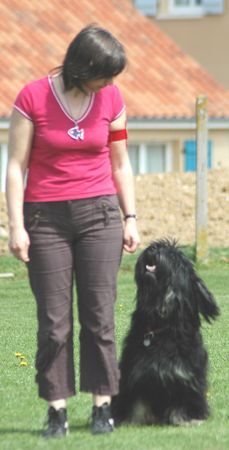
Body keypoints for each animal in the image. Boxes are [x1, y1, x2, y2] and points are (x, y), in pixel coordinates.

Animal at [112, 239, 219, 426]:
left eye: (173, 256)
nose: (154, 248)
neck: (161, 324)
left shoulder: (184, 376)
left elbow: (181, 403)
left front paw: (185, 420)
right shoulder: (135, 373)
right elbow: (137, 404)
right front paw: (130, 422)